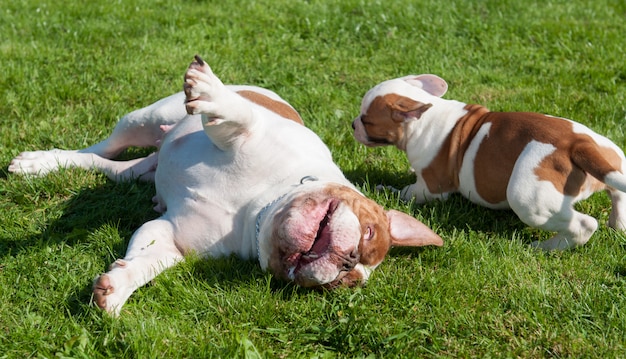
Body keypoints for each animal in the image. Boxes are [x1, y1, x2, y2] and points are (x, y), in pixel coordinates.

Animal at [7, 55, 442, 316]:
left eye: (345, 284)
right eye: (368, 232)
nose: (348, 262)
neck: (257, 207)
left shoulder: (170, 236)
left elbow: (149, 260)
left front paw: (118, 286)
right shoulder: (248, 132)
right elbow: (240, 119)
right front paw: (212, 93)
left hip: (137, 167)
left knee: (109, 166)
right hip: (145, 117)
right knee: (102, 147)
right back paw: (40, 162)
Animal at [352, 74, 624, 252]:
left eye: (366, 120)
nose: (353, 124)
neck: (424, 117)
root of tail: (577, 145)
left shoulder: (430, 188)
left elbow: (406, 193)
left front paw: (385, 189)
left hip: (527, 201)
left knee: (584, 225)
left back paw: (546, 247)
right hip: (613, 157)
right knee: (617, 194)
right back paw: (618, 225)